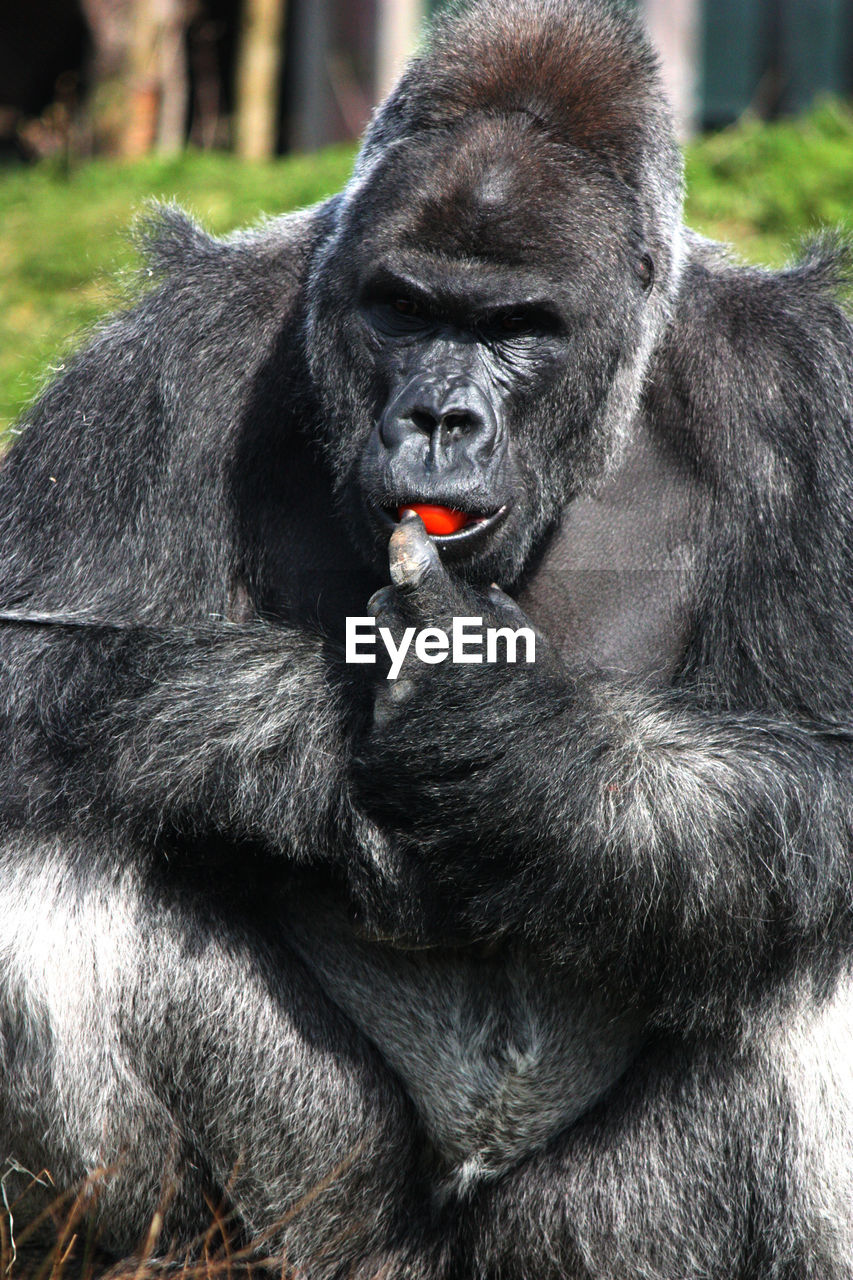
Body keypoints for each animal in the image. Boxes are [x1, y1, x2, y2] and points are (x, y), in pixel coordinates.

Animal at [1, 0, 850, 1274]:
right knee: (52, 830)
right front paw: (314, 753)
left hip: (589, 1242)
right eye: (404, 308)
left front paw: (521, 757)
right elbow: (27, 666)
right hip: (323, 1220)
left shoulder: (808, 401)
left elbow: (830, 770)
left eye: (516, 327)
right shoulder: (160, 362)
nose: (440, 417)